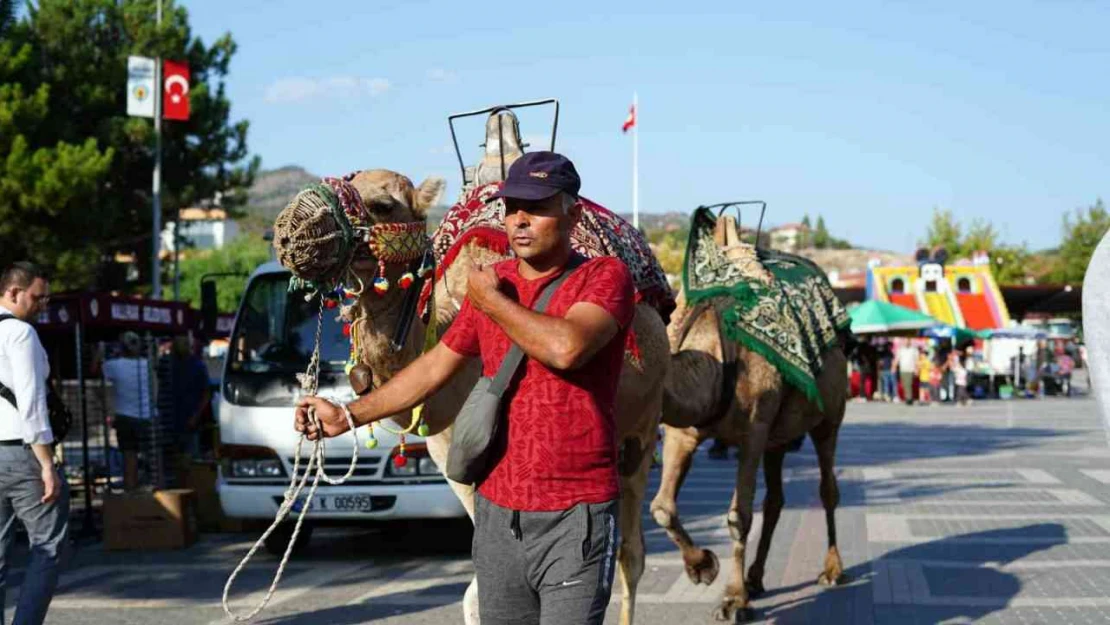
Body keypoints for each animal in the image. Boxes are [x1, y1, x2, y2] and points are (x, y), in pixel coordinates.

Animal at [648, 214, 848, 621]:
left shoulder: (753, 430)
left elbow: (738, 516)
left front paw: (733, 600)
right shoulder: (682, 429)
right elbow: (661, 508)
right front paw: (703, 567)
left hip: (829, 418)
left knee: (827, 488)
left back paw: (832, 569)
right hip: (778, 438)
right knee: (775, 500)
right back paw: (756, 578)